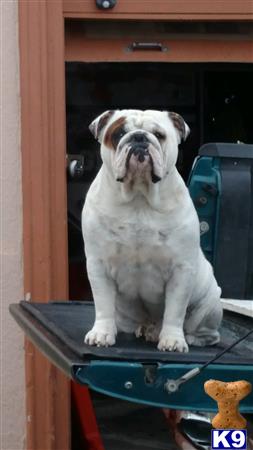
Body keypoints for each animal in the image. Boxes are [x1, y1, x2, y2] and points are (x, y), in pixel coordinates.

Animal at [82, 108, 222, 352]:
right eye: (119, 134)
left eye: (159, 135)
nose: (139, 138)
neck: (139, 197)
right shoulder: (98, 265)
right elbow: (103, 304)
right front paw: (101, 333)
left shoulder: (181, 269)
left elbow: (175, 310)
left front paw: (173, 340)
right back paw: (149, 330)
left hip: (211, 305)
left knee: (205, 331)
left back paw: (185, 337)